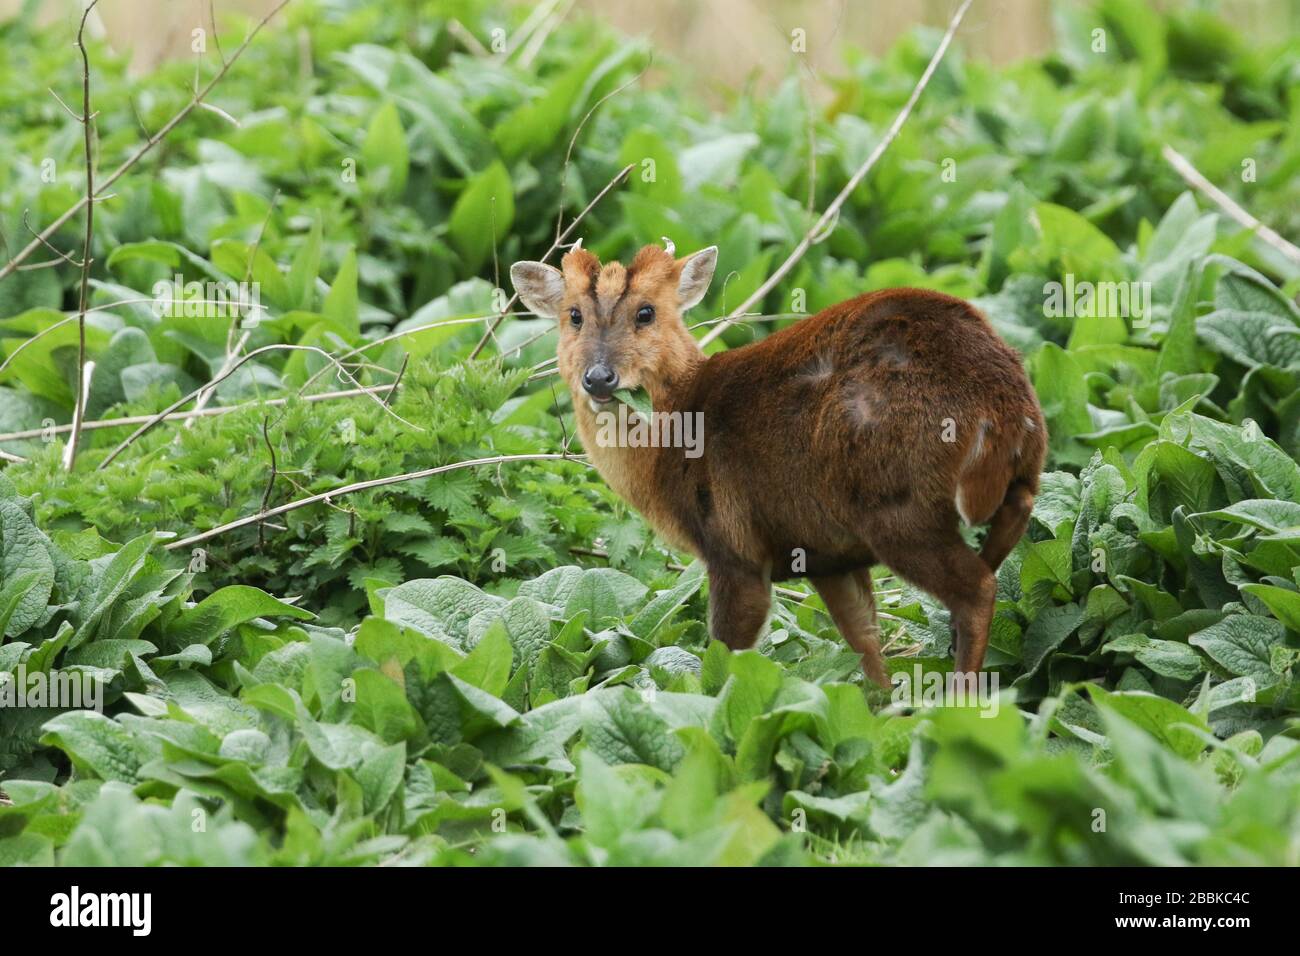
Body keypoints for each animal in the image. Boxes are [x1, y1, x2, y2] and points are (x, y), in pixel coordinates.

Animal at [509, 239, 1045, 686]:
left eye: (647, 312)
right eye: (573, 315)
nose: (599, 378)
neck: (676, 434)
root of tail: (999, 405)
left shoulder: (735, 546)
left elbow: (725, 654)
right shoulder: (826, 550)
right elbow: (864, 641)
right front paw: (881, 715)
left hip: (897, 506)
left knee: (977, 588)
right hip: (1009, 473)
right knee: (1012, 524)